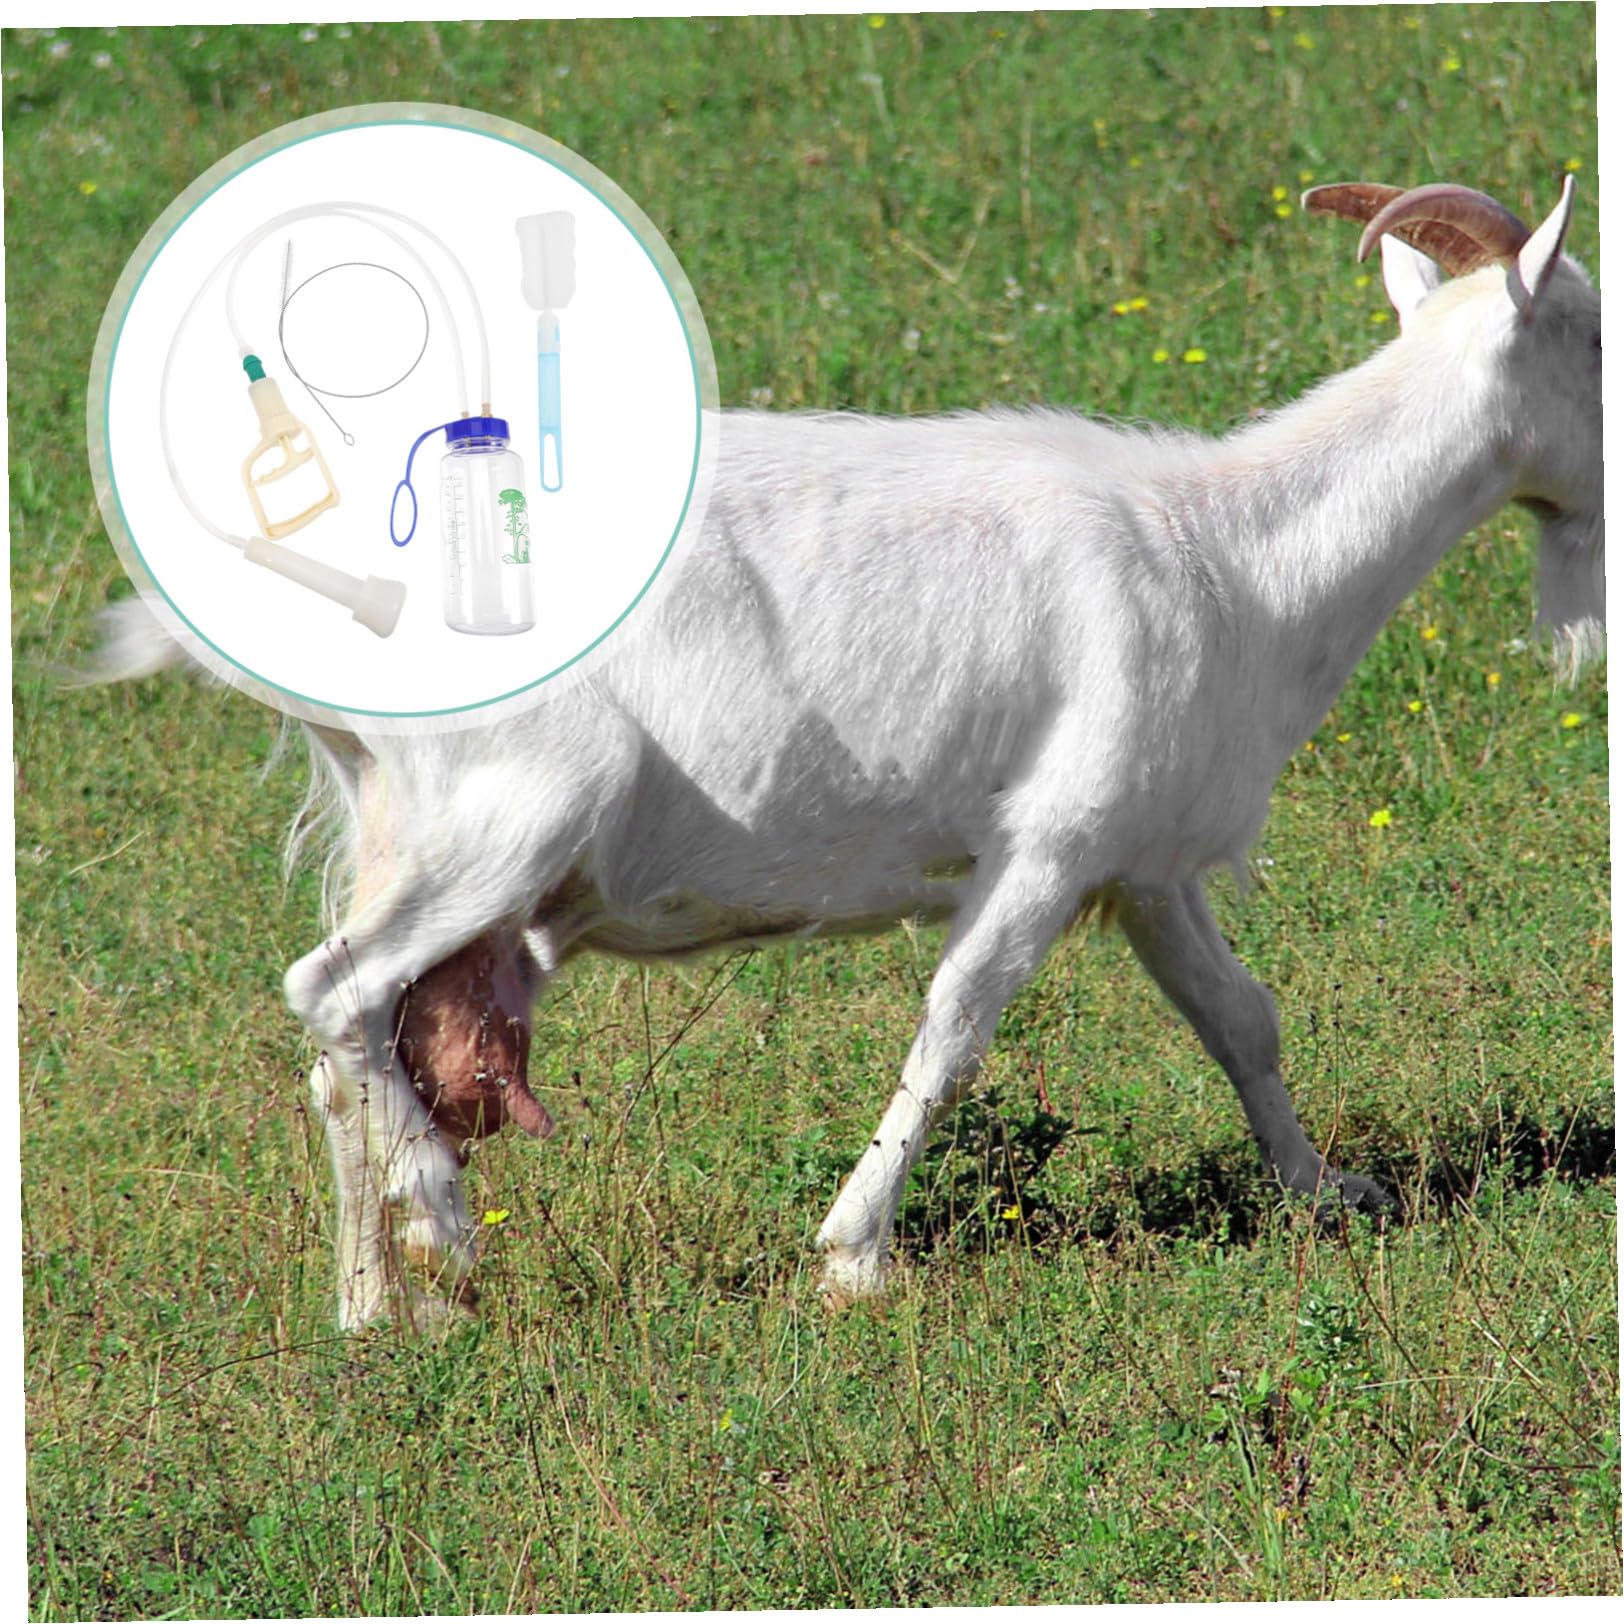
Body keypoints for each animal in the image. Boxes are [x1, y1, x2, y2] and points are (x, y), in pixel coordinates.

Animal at [105, 175, 1604, 1330]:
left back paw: (376, 1308)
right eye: (1592, 331)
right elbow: (954, 1027)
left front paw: (1322, 1190)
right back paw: (445, 1229)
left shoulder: (1140, 856)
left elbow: (1241, 1017)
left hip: (408, 831)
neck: (1232, 555)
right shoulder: (1046, 841)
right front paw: (855, 1256)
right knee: (334, 992)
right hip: (506, 816)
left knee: (345, 1050)